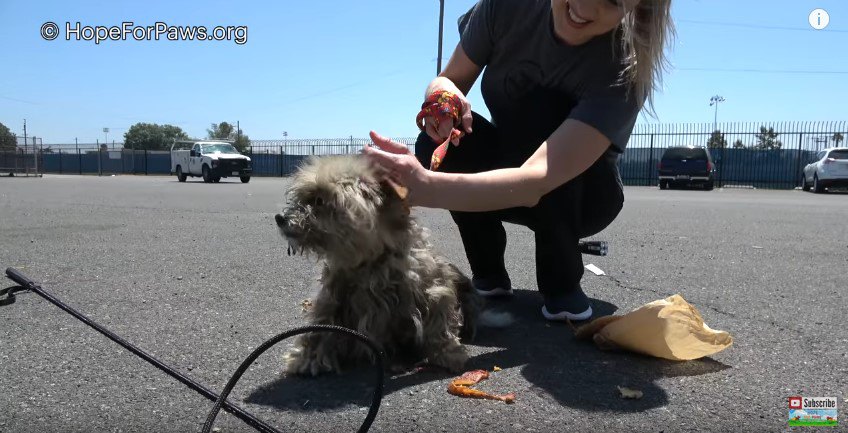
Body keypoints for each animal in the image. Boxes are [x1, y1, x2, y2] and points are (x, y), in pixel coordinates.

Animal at [276, 154, 490, 374]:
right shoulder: (332, 297)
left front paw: (449, 353)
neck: (371, 260)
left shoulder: (435, 288)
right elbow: (321, 325)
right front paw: (307, 357)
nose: (280, 218)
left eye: (319, 200)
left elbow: (439, 322)